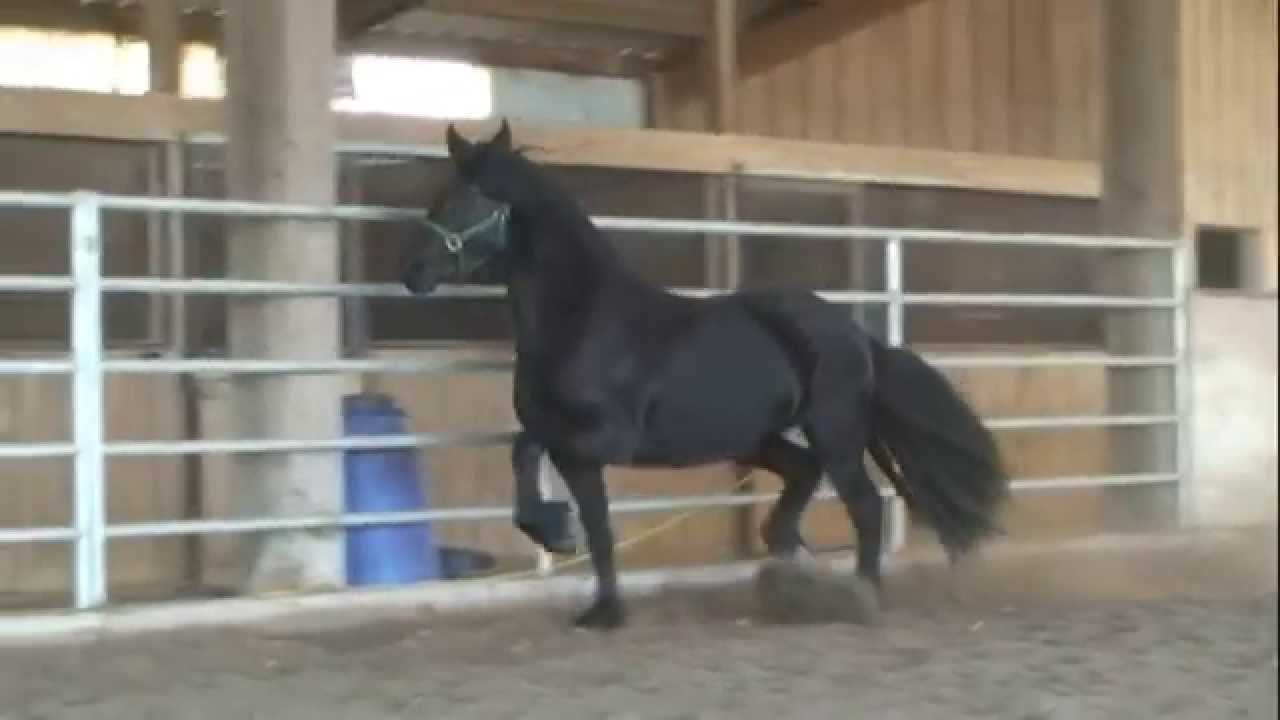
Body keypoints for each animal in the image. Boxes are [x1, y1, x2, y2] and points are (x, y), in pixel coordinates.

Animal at [401, 121, 1010, 630]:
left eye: (468, 198)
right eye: (437, 196)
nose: (413, 274)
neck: (585, 320)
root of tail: (858, 335)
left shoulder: (599, 440)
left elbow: (541, 464)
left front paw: (565, 548)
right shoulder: (575, 452)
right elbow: (578, 506)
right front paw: (593, 594)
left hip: (835, 433)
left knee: (864, 504)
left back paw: (861, 595)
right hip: (756, 438)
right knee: (803, 474)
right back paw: (785, 565)